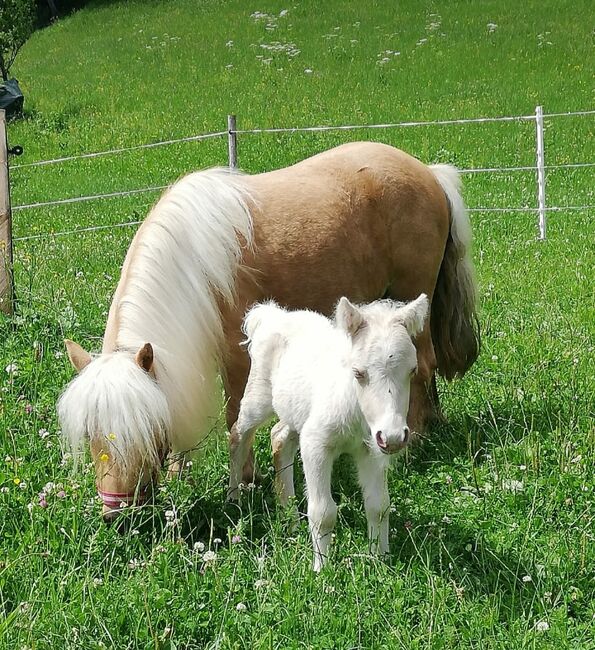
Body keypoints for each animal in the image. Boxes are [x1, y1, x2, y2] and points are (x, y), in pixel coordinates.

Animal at [57, 140, 480, 516]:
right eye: (91, 434)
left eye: (141, 433)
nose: (117, 513)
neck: (194, 266)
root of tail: (429, 172)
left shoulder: (238, 357)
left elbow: (236, 417)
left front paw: (245, 479)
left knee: (423, 366)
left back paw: (415, 441)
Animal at [228, 294, 428, 568]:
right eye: (358, 372)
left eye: (412, 370)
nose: (394, 437)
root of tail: (273, 314)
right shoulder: (316, 444)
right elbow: (323, 512)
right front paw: (321, 569)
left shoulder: (372, 450)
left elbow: (378, 505)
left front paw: (380, 560)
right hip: (259, 397)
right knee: (238, 434)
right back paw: (233, 501)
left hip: (297, 412)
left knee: (279, 437)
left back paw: (290, 520)